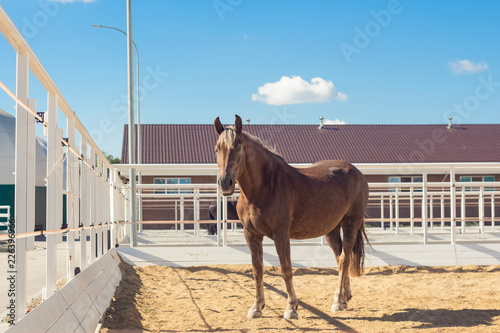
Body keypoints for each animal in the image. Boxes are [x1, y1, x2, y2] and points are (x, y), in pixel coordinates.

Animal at [213, 115, 370, 320]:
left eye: (238, 147)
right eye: (217, 149)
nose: (225, 183)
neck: (264, 187)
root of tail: (357, 173)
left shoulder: (281, 234)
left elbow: (286, 269)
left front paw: (291, 308)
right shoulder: (251, 235)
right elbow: (257, 270)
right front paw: (256, 307)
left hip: (351, 223)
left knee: (344, 259)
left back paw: (337, 301)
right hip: (332, 229)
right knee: (340, 257)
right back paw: (344, 298)